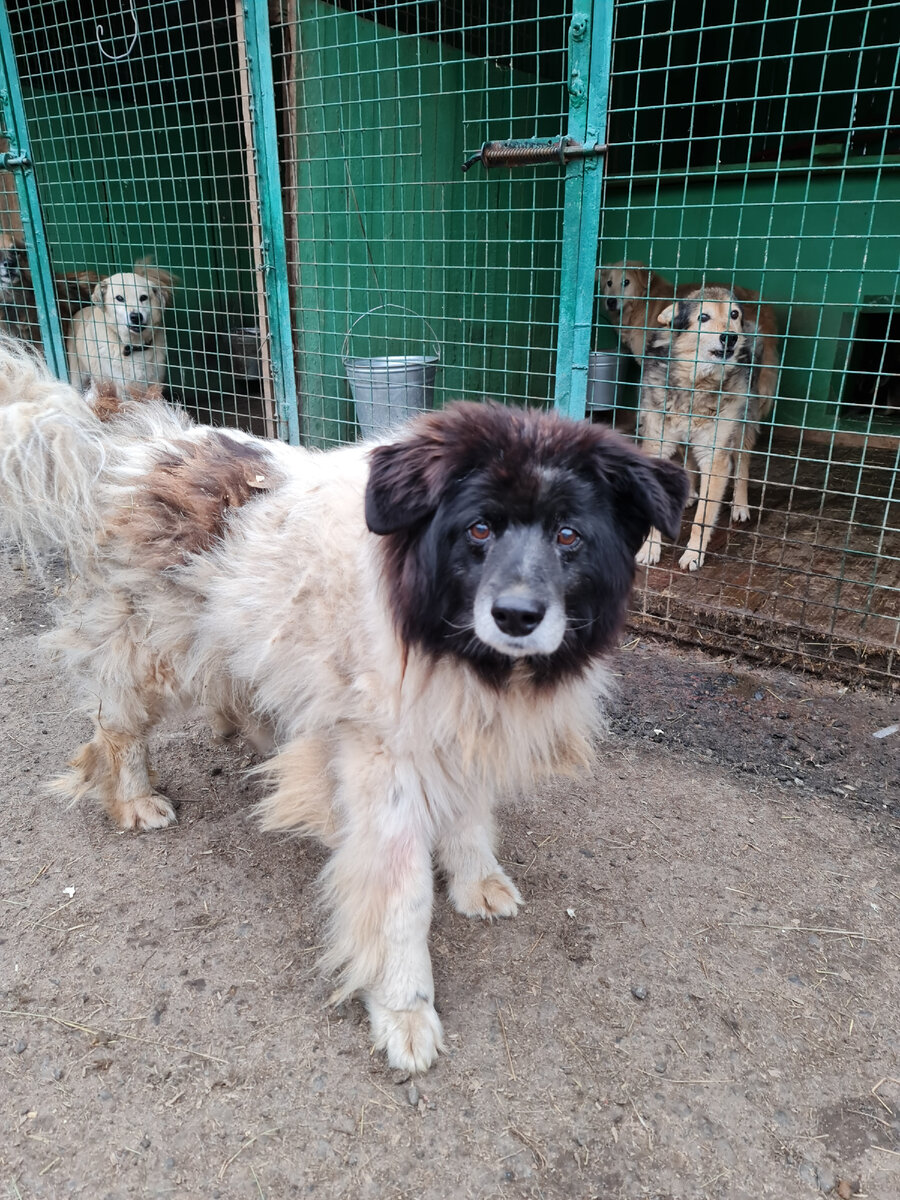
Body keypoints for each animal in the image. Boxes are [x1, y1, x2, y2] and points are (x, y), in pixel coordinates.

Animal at [0, 336, 686, 1080]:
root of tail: (128, 446)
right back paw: (132, 800)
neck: (432, 625)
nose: (517, 616)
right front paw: (405, 1009)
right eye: (478, 529)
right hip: (147, 651)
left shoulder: (458, 731)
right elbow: (402, 903)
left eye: (568, 536)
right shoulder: (387, 767)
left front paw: (475, 882)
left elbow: (470, 820)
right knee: (116, 725)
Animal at [68, 260, 172, 391]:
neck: (134, 346)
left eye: (143, 297)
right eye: (119, 298)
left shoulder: (155, 384)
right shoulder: (121, 387)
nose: (136, 316)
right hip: (79, 378)